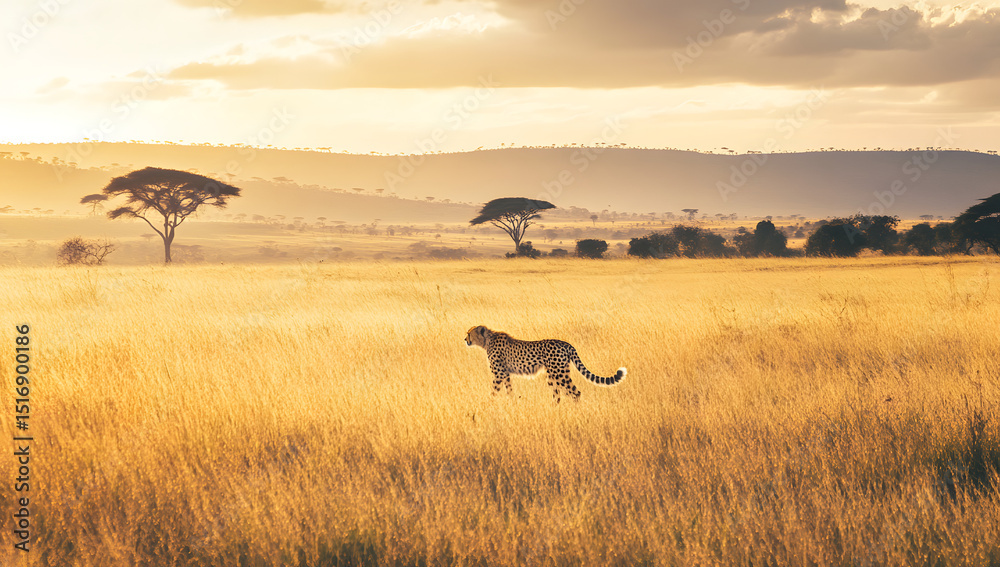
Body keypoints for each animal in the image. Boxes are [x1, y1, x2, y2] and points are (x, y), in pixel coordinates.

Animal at [464, 325, 627, 402]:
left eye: (469, 333)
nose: (465, 340)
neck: (487, 340)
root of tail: (566, 344)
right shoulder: (506, 374)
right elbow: (509, 390)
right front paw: (512, 402)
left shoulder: (499, 374)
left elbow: (493, 392)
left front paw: (488, 404)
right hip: (554, 375)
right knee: (559, 395)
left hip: (559, 374)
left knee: (575, 393)